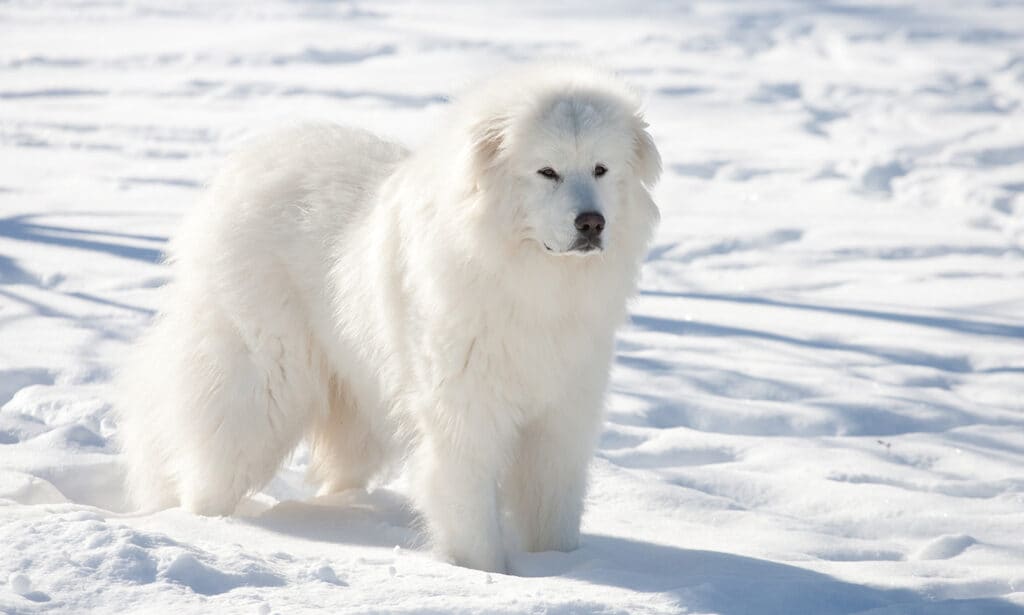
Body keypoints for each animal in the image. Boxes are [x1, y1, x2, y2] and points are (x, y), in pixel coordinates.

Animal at [116, 63, 659, 568]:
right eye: (547, 171)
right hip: (264, 384)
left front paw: (561, 566)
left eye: (601, 169)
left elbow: (554, 507)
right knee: (214, 458)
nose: (591, 223)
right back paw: (202, 527)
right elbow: (470, 511)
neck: (531, 282)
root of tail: (242, 167)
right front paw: (484, 574)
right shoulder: (464, 414)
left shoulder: (561, 417)